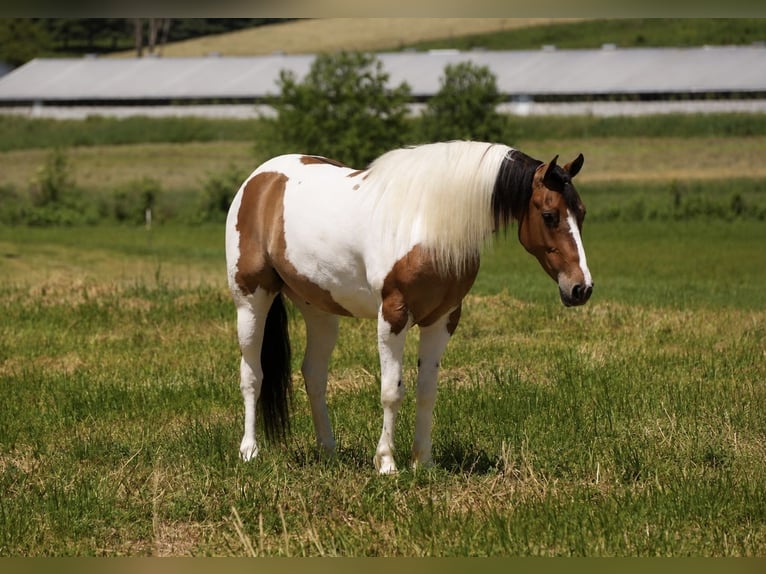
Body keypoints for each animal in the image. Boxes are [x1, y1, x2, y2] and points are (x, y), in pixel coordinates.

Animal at [225, 140, 593, 474]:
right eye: (549, 215)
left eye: (582, 213)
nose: (581, 288)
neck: (428, 223)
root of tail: (260, 180)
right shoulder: (393, 315)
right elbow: (392, 391)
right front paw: (386, 463)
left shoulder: (443, 319)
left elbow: (427, 391)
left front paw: (423, 462)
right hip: (251, 299)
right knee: (252, 374)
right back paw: (249, 451)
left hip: (318, 309)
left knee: (314, 375)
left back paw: (328, 452)